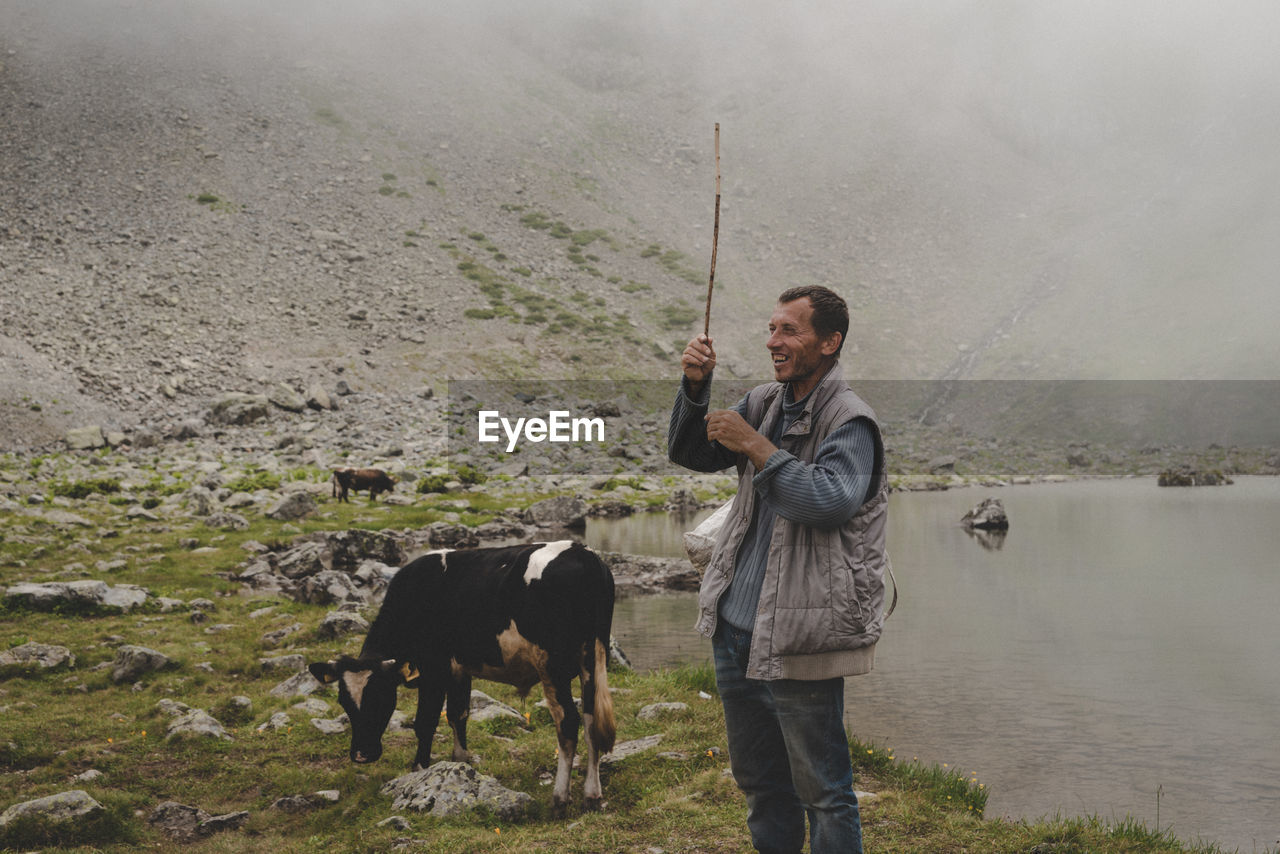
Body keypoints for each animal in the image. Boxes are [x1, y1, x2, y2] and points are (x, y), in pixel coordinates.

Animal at [304, 545, 614, 814]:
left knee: (568, 723)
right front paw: (461, 762)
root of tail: (582, 552)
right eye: (344, 702)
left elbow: (425, 722)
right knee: (590, 722)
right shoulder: (459, 670)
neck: (415, 597)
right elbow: (458, 714)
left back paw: (560, 799)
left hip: (552, 666)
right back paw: (592, 795)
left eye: (381, 698)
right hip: (591, 661)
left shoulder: (433, 669)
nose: (361, 755)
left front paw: (420, 770)